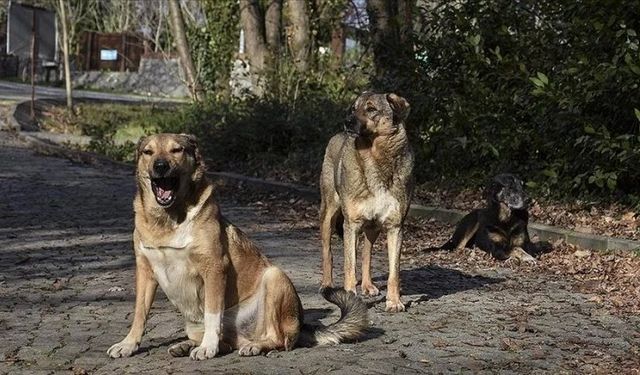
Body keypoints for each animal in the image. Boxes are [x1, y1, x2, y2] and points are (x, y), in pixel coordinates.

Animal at [107, 134, 368, 362]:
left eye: (176, 150)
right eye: (148, 152)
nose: (160, 166)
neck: (168, 220)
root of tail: (302, 325)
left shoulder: (214, 269)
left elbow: (213, 314)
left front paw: (208, 348)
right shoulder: (145, 271)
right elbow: (140, 313)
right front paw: (128, 344)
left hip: (274, 277)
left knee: (278, 339)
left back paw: (253, 346)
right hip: (193, 324)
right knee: (227, 342)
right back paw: (186, 345)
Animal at [318, 92, 416, 312]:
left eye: (371, 109)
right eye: (353, 108)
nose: (347, 121)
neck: (375, 157)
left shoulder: (395, 227)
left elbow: (393, 272)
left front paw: (394, 301)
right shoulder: (351, 225)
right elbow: (349, 266)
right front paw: (349, 297)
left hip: (373, 227)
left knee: (367, 253)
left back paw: (368, 285)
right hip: (329, 216)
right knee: (328, 252)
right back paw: (327, 285)